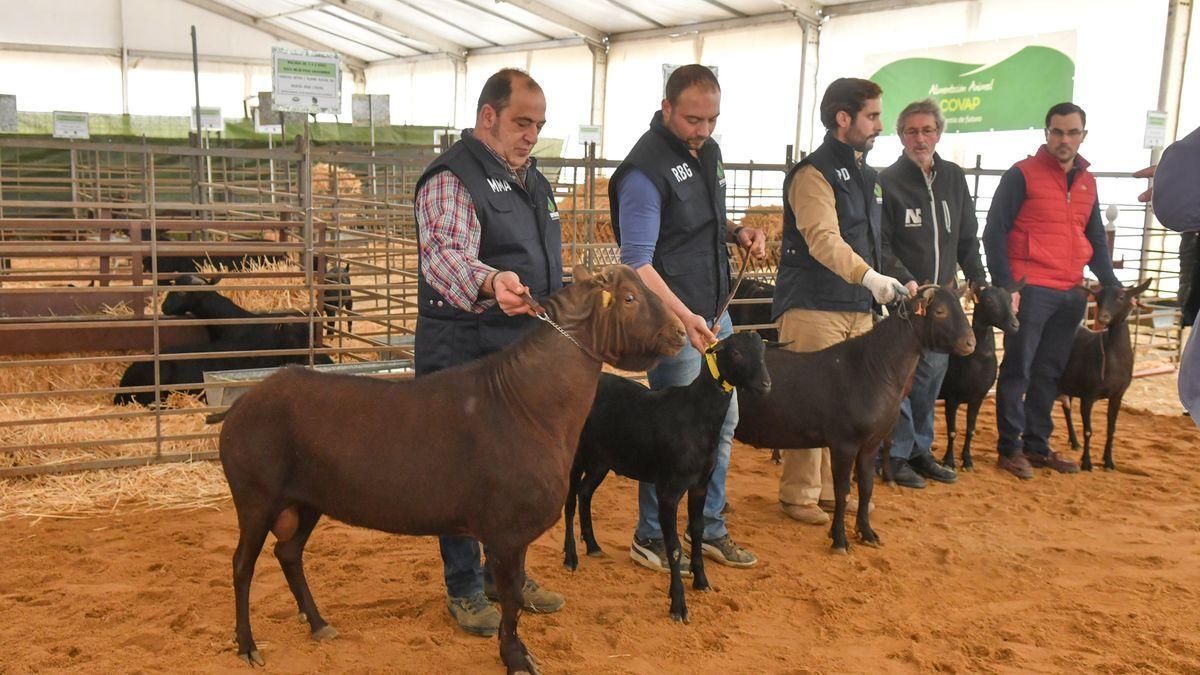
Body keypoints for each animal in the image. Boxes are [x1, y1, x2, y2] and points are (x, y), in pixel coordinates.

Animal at [218, 264, 686, 672]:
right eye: (629, 298)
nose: (681, 332)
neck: (528, 403)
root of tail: (240, 406)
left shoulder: (512, 534)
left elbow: (516, 595)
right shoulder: (505, 531)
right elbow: (510, 599)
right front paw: (516, 658)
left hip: (306, 501)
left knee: (288, 553)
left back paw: (318, 624)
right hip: (255, 497)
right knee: (242, 566)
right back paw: (247, 646)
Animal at [561, 331, 768, 619]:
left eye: (763, 352)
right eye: (736, 353)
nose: (765, 385)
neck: (696, 415)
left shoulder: (700, 484)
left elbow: (698, 529)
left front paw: (701, 581)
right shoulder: (668, 489)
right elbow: (674, 548)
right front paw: (678, 605)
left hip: (602, 459)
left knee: (585, 493)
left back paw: (592, 545)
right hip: (578, 453)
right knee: (569, 501)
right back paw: (570, 557)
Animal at [729, 283, 974, 552]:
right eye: (940, 311)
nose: (970, 343)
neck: (874, 368)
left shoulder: (870, 443)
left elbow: (866, 488)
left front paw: (867, 532)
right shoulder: (843, 443)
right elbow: (842, 491)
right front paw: (839, 539)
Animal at [936, 278, 1022, 468]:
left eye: (1010, 299)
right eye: (988, 300)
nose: (1015, 325)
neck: (977, 361)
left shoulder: (978, 398)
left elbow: (970, 430)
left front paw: (967, 460)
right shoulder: (951, 398)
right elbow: (952, 431)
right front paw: (949, 461)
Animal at [1060, 277, 1152, 468]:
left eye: (1122, 297)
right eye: (1099, 297)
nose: (1103, 317)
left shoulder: (1117, 395)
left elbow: (1112, 429)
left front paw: (1109, 461)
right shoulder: (1088, 395)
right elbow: (1088, 430)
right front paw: (1087, 463)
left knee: (1066, 408)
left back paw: (1074, 442)